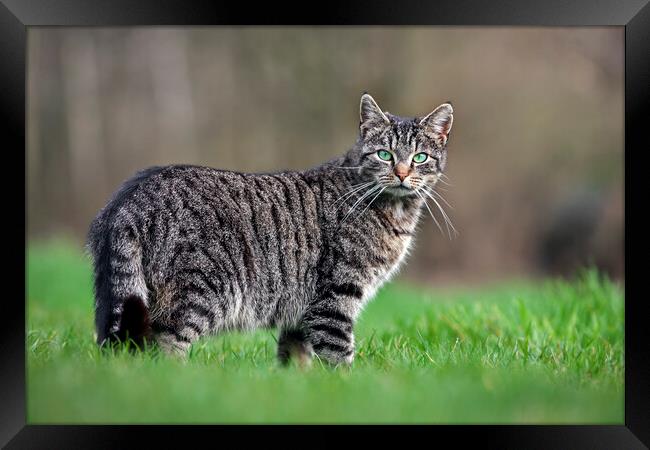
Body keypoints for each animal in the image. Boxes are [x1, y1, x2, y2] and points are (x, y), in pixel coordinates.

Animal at [86, 93, 454, 364]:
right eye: (384, 155)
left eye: (420, 158)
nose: (403, 173)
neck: (396, 211)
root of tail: (128, 198)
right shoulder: (335, 298)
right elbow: (340, 356)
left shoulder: (302, 313)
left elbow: (296, 359)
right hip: (197, 293)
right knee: (163, 349)